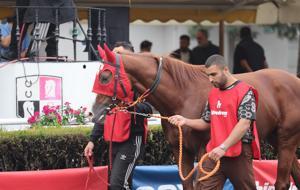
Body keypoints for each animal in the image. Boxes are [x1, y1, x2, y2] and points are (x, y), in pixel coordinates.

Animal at [92, 46, 300, 190]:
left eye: (105, 77)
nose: (95, 113)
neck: (183, 94)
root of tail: (295, 80)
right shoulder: (180, 149)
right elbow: (187, 184)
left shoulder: (203, 151)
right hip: (276, 138)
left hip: (287, 138)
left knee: (282, 182)